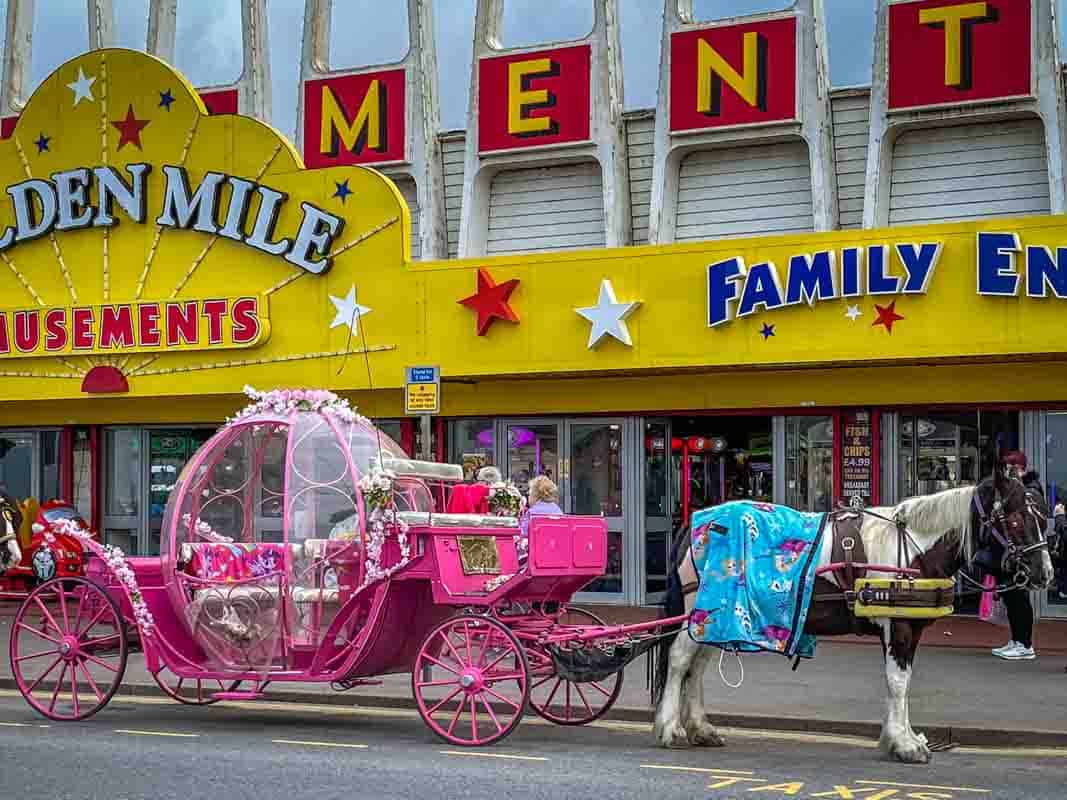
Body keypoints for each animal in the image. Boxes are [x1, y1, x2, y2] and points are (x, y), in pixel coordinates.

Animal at [653, 473, 1054, 768]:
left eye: (1043, 520)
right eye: (1016, 519)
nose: (1045, 573)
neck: (911, 549)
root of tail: (694, 523)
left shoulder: (907, 628)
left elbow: (903, 681)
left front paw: (903, 737)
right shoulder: (897, 626)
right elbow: (898, 682)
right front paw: (904, 745)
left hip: (716, 617)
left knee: (697, 667)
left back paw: (700, 728)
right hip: (699, 612)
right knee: (680, 660)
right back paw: (670, 728)